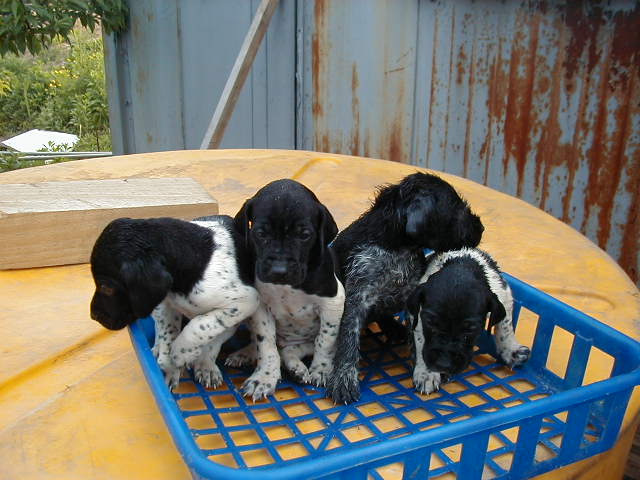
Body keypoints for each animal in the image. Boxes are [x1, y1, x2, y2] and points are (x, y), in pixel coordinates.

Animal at [89, 216, 259, 390]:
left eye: (106, 287)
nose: (93, 316)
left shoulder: (245, 301)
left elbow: (202, 327)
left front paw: (187, 355)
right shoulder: (166, 305)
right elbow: (168, 335)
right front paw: (171, 365)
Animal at [226, 179, 345, 401]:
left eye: (304, 235)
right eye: (260, 233)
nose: (279, 271)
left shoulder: (334, 302)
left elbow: (325, 341)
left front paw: (322, 369)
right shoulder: (261, 307)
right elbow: (266, 344)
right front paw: (264, 377)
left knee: (296, 349)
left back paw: (298, 368)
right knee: (275, 348)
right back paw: (249, 354)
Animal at [326, 172, 484, 404]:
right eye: (457, 209)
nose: (482, 228)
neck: (396, 248)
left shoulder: (414, 298)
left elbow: (420, 336)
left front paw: (427, 372)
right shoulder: (356, 299)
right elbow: (348, 340)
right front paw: (344, 378)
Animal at [407, 247, 531, 394]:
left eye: (471, 330)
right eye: (430, 324)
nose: (444, 364)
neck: (461, 263)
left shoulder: (504, 295)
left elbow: (505, 326)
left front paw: (511, 350)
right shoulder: (419, 317)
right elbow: (421, 341)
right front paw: (427, 373)